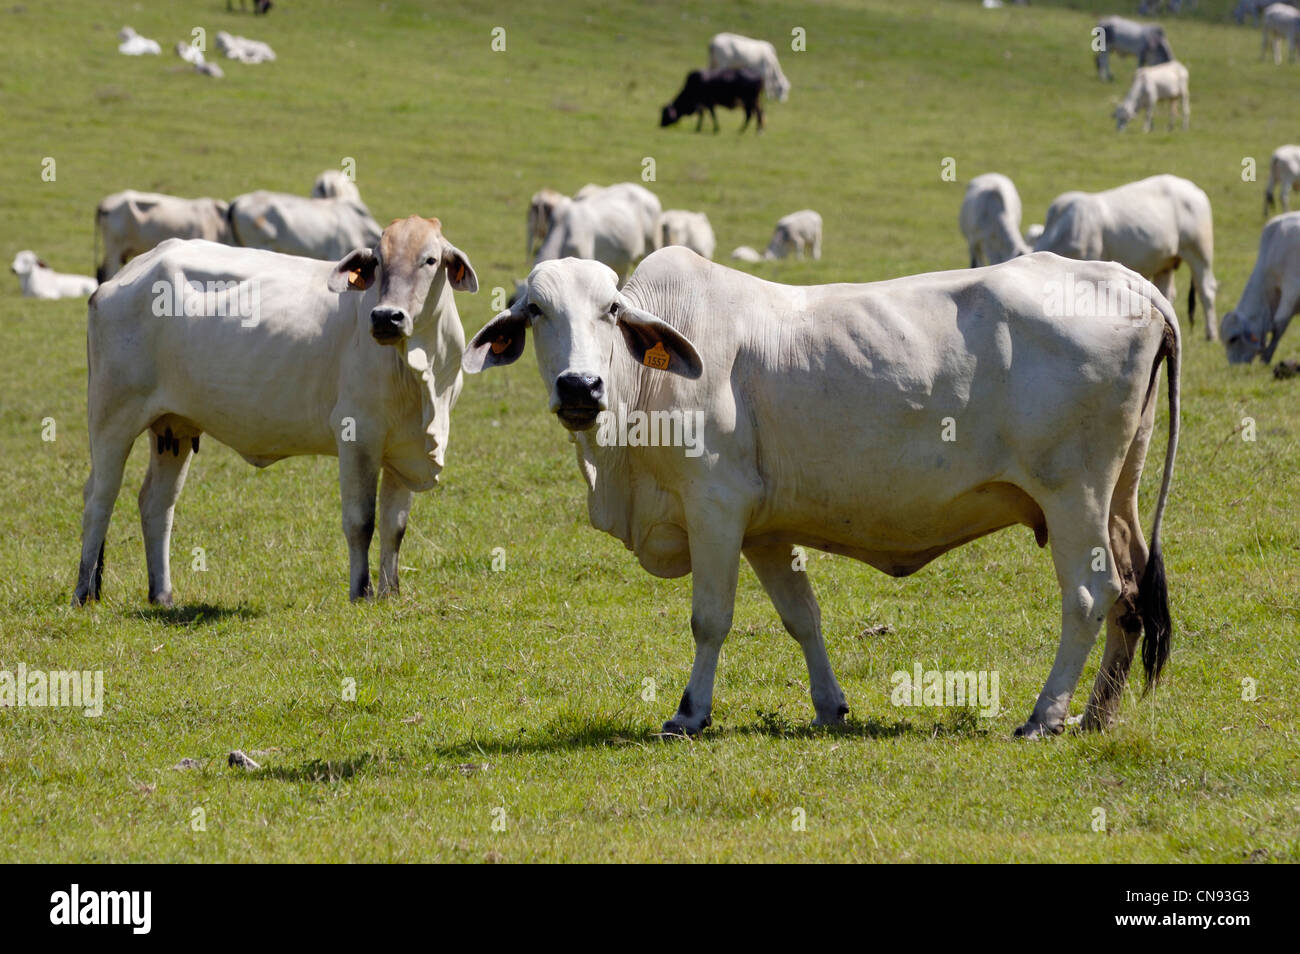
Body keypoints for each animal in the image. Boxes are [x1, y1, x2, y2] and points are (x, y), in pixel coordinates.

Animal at [71, 215, 478, 605]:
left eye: (430, 260)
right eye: (377, 261)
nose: (385, 318)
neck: (422, 373)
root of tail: (124, 274)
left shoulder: (404, 449)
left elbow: (395, 526)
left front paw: (390, 593)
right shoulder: (357, 437)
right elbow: (361, 521)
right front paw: (360, 593)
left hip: (174, 428)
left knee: (157, 504)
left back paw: (163, 595)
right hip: (112, 415)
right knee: (99, 498)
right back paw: (83, 593)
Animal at [465, 250, 1180, 743]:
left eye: (611, 309)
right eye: (535, 311)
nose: (579, 386)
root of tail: (1130, 281)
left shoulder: (715, 507)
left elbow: (710, 619)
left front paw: (689, 714)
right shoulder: (764, 531)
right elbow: (801, 616)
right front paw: (830, 706)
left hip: (1072, 495)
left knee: (1090, 596)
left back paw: (1044, 714)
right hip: (1118, 495)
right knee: (1130, 594)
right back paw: (1096, 715)